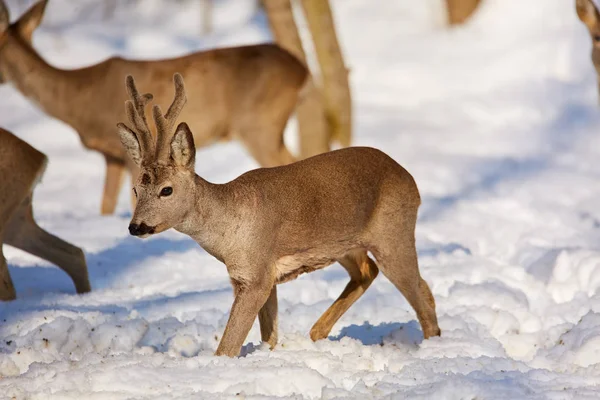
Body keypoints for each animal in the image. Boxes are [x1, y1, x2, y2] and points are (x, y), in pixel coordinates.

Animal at [0, 0, 308, 216]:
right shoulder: (111, 156)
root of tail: (302, 72)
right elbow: (105, 207)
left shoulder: (127, 155)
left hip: (260, 126)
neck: (79, 98)